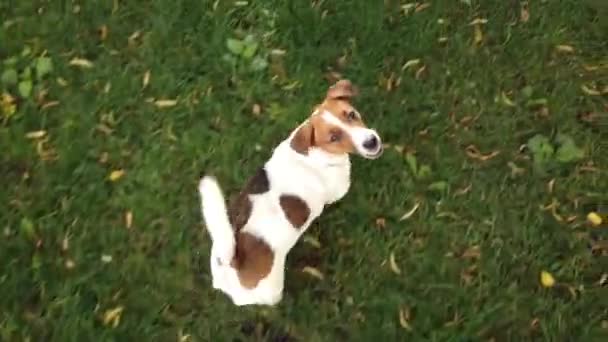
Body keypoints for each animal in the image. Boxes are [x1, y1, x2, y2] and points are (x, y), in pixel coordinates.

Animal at [197, 80, 382, 308]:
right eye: (333, 138)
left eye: (351, 114)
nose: (371, 142)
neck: (313, 153)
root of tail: (232, 261)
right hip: (271, 289)